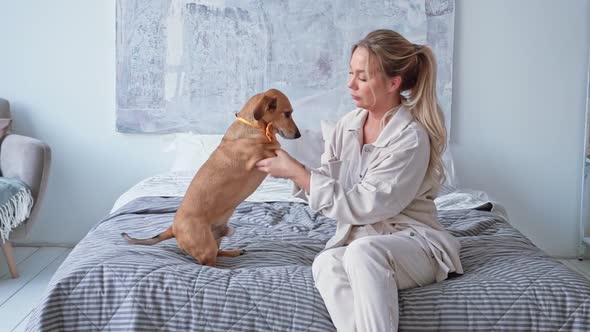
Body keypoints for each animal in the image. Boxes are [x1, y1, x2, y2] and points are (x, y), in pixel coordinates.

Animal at [123, 89, 302, 266]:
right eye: (287, 114)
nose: (298, 135)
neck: (254, 127)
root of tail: (173, 228)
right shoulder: (263, 155)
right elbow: (281, 152)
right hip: (206, 246)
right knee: (209, 264)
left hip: (216, 239)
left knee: (218, 253)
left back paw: (233, 252)